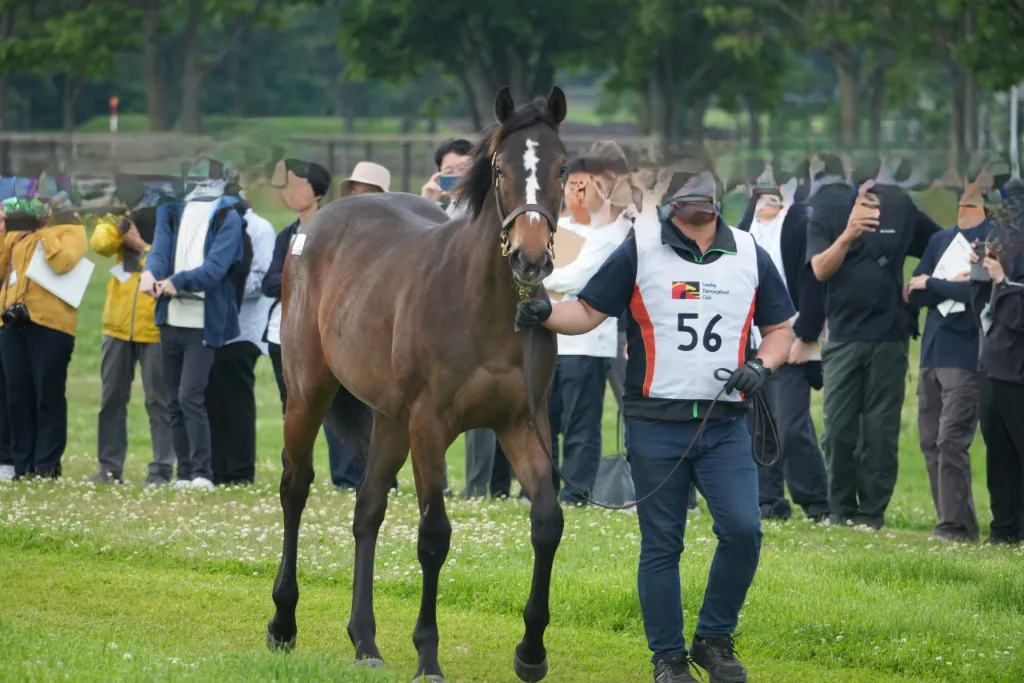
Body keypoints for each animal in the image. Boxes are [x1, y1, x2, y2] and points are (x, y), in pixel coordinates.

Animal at [265, 87, 569, 683]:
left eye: (562, 169)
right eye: (499, 169)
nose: (530, 258)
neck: (483, 305)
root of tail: (313, 226)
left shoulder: (523, 423)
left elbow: (547, 522)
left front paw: (531, 651)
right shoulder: (430, 425)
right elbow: (434, 537)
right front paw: (428, 654)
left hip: (389, 418)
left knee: (367, 509)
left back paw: (365, 641)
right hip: (310, 392)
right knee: (295, 488)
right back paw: (284, 623)